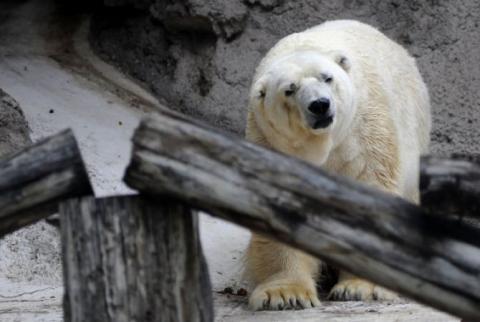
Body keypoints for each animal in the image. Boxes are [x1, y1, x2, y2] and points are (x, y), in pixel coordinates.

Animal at [244, 19, 432, 310]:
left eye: (327, 77)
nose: (320, 105)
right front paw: (285, 294)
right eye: (289, 89)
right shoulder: (270, 142)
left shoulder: (364, 131)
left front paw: (362, 287)